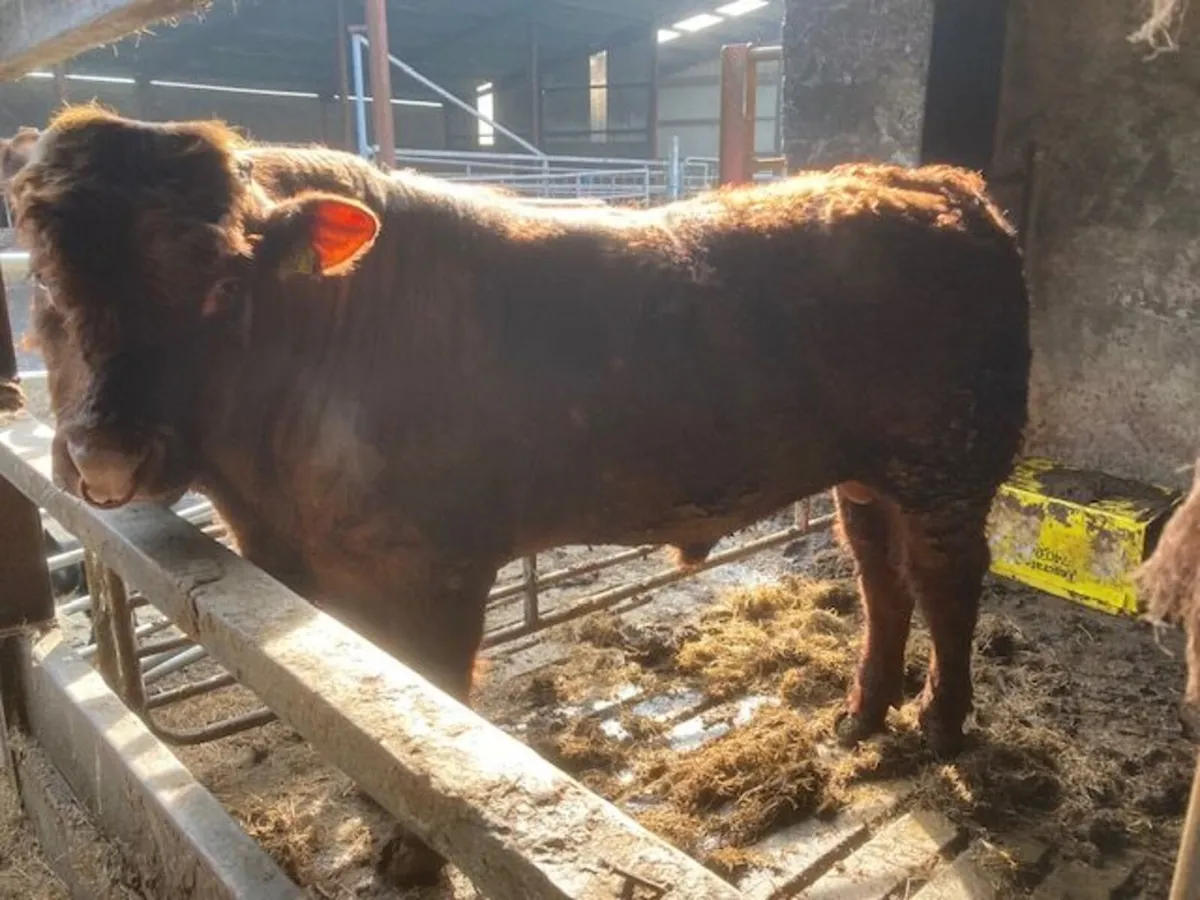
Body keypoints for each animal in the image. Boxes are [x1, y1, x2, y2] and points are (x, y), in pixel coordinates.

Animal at [8, 106, 1029, 876]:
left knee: (946, 583)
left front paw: (412, 852)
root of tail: (932, 182)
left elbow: (419, 712)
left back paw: (940, 721)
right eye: (43, 277)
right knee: (880, 577)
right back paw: (863, 709)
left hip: (949, 465)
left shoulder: (435, 570)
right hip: (870, 472)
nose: (104, 456)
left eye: (221, 281)